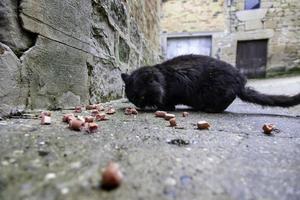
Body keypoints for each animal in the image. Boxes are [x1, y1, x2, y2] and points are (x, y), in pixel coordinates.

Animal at [120, 54, 298, 112]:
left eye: (142, 97)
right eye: (132, 98)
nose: (138, 105)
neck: (164, 79)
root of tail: (240, 81)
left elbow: (167, 104)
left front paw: (159, 107)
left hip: (219, 90)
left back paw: (210, 109)